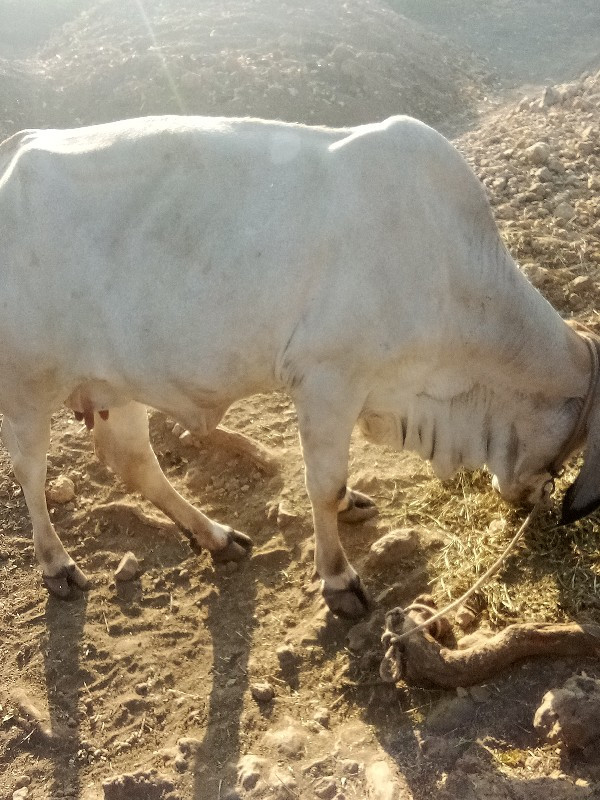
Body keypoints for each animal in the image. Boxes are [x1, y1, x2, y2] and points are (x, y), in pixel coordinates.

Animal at [1, 112, 600, 616]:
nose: (536, 501)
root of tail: (16, 144)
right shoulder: (328, 381)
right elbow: (323, 485)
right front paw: (338, 579)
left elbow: (337, 483)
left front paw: (352, 506)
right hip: (27, 388)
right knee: (30, 472)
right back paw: (58, 566)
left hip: (116, 383)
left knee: (133, 460)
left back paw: (217, 537)